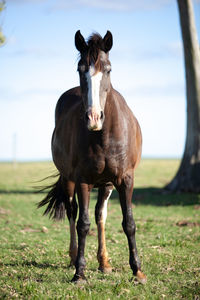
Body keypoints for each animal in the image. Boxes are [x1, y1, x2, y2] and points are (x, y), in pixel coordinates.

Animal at [38, 30, 147, 284]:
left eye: (108, 69)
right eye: (80, 69)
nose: (94, 117)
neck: (103, 135)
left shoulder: (125, 179)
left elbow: (128, 223)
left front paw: (137, 270)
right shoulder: (83, 180)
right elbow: (83, 224)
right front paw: (79, 272)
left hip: (106, 184)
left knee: (100, 215)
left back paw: (104, 262)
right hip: (69, 180)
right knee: (72, 212)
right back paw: (73, 256)